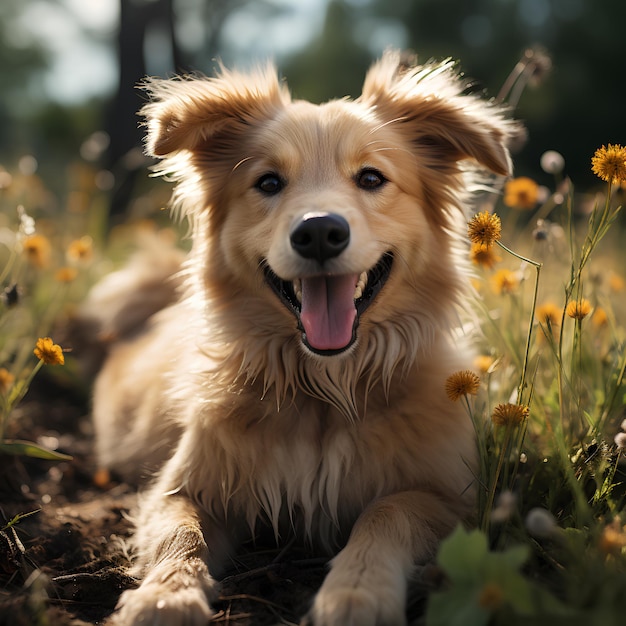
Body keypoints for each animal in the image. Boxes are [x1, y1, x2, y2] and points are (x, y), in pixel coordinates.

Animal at [88, 51, 516, 620]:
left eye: (372, 177)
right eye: (269, 183)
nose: (318, 232)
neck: (325, 392)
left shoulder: (451, 497)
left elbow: (388, 512)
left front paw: (356, 592)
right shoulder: (182, 488)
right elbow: (183, 534)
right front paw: (166, 594)